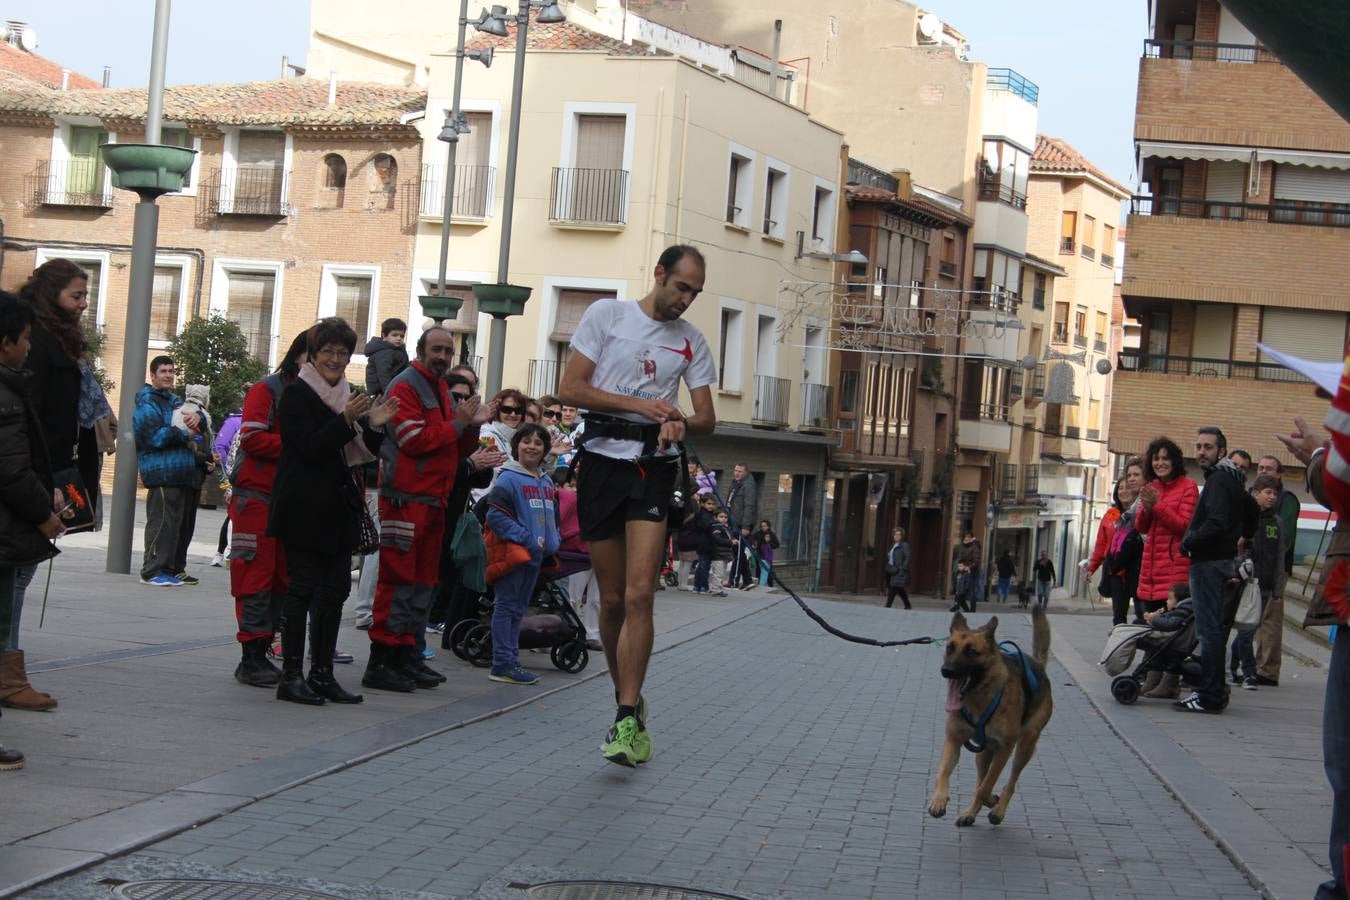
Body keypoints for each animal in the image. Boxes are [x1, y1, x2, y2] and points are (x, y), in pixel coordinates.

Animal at [928, 609, 1053, 825]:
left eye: (971, 651)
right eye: (950, 648)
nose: (946, 671)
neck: (979, 698)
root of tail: (1038, 665)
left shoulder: (1005, 748)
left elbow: (985, 787)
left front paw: (993, 800)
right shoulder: (953, 740)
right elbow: (943, 772)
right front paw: (939, 800)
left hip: (1025, 746)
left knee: (1009, 783)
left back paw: (998, 809)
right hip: (983, 754)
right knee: (981, 778)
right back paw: (970, 812)